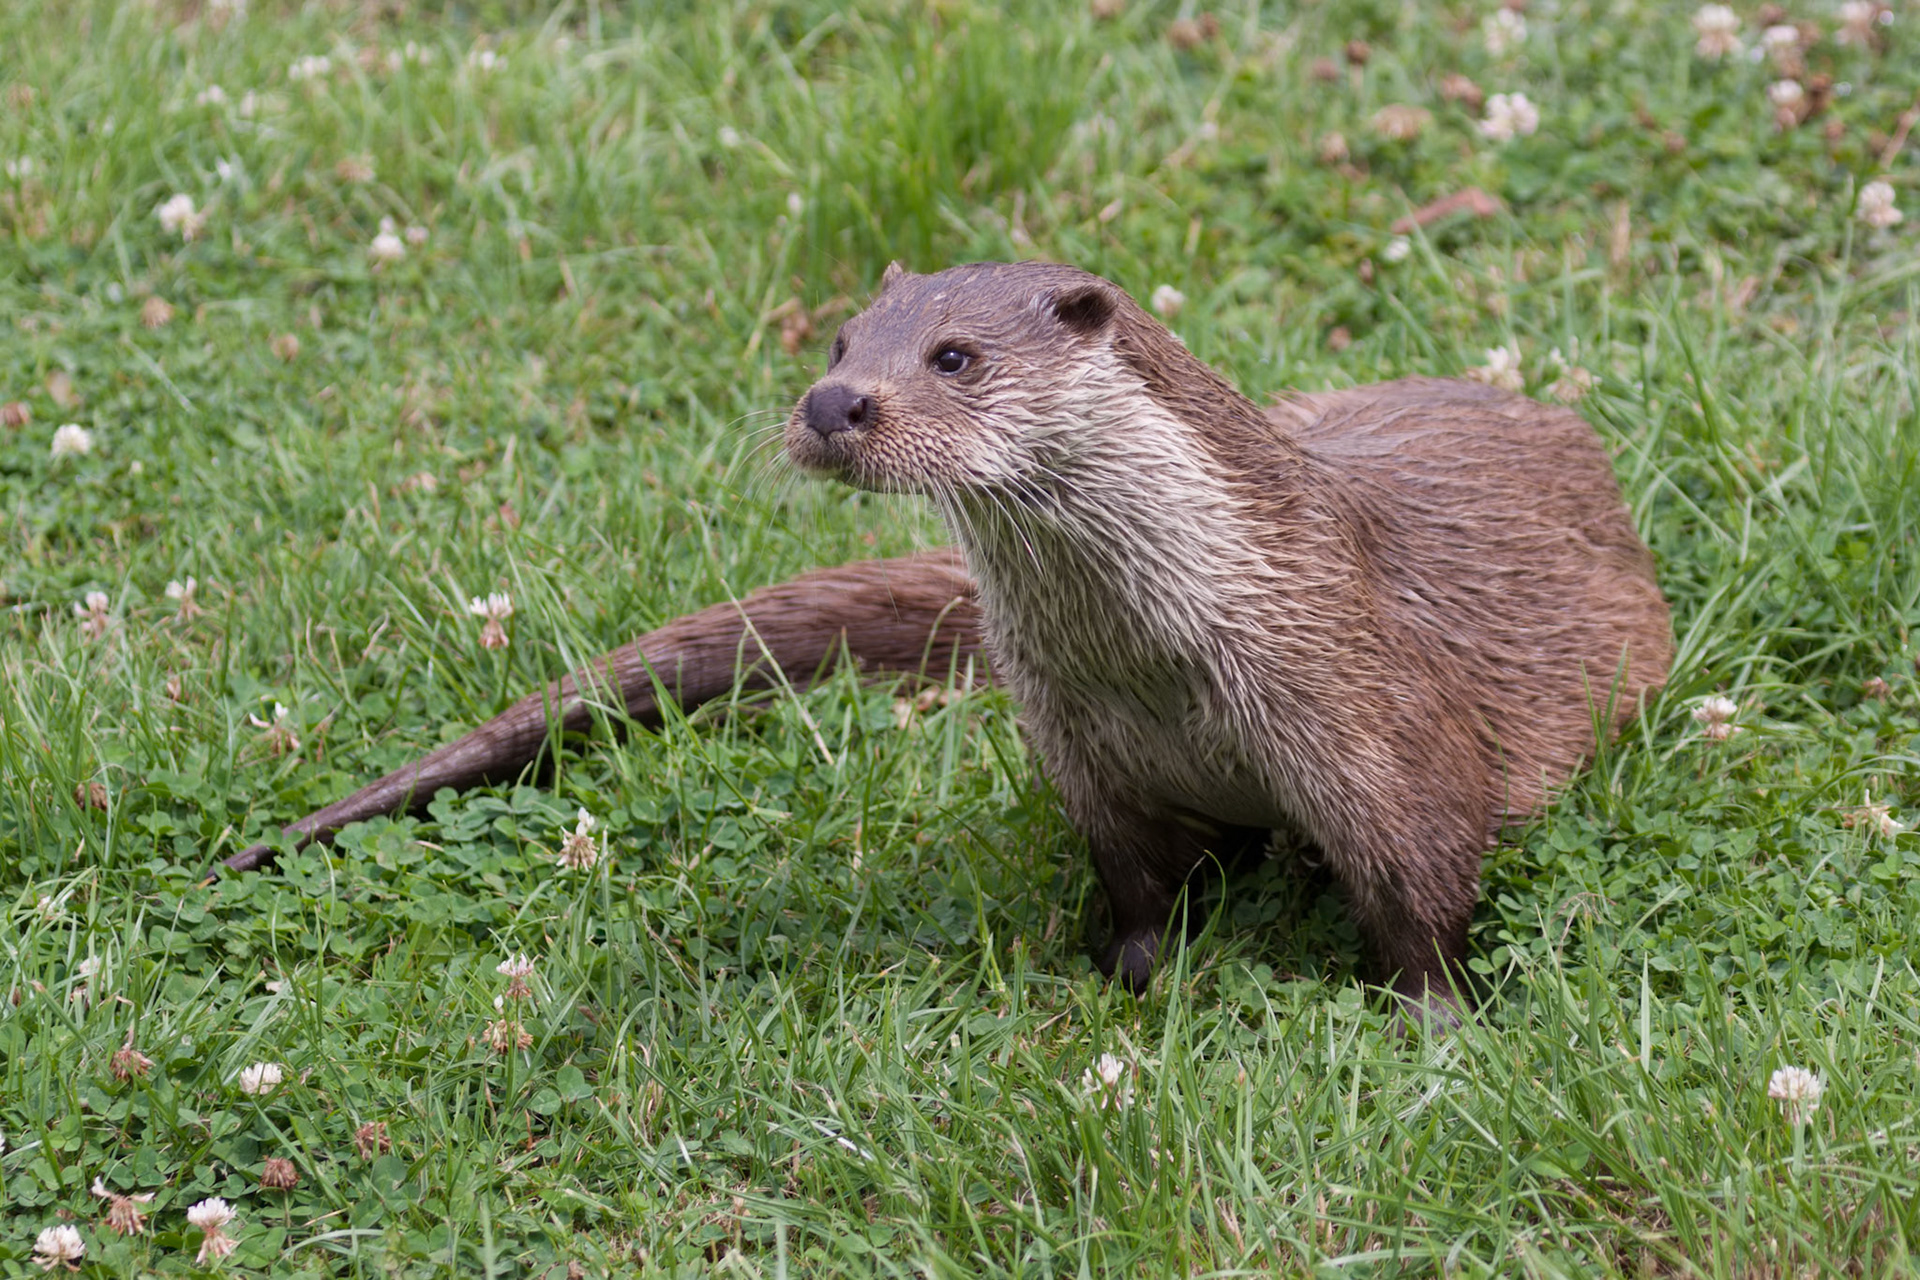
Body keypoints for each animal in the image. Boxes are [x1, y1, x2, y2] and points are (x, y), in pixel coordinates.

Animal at [224, 262, 1670, 1023]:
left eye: (958, 355)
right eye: (840, 339)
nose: (833, 403)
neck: (1162, 668)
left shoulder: (1376, 728)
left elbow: (1423, 888)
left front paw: (1433, 1021)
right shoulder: (1084, 750)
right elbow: (1137, 884)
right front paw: (1129, 978)